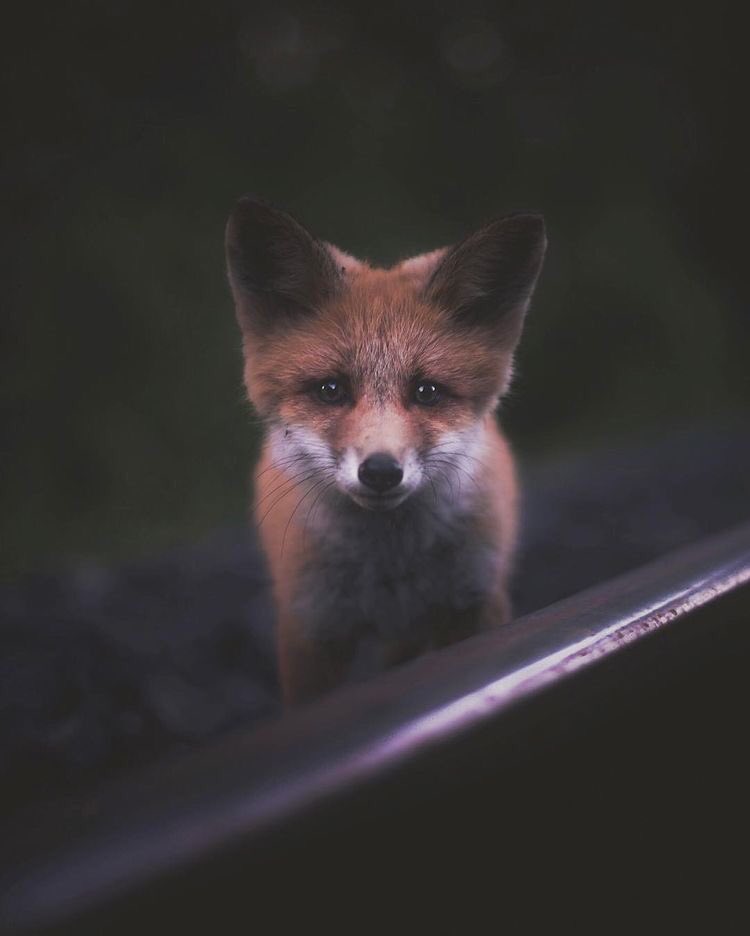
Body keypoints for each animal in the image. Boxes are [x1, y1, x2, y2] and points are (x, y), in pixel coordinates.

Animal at [225, 197, 546, 706]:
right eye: (331, 389)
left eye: (427, 392)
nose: (379, 472)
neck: (391, 569)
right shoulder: (311, 627)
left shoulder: (476, 603)